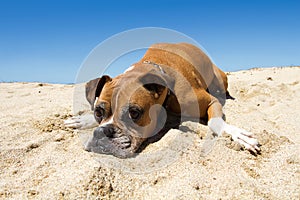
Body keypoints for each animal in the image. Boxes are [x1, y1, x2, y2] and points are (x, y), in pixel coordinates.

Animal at [65, 42, 260, 158]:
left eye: (134, 113)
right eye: (98, 111)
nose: (101, 132)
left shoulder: (211, 101)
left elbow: (215, 122)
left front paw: (237, 134)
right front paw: (84, 119)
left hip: (220, 79)